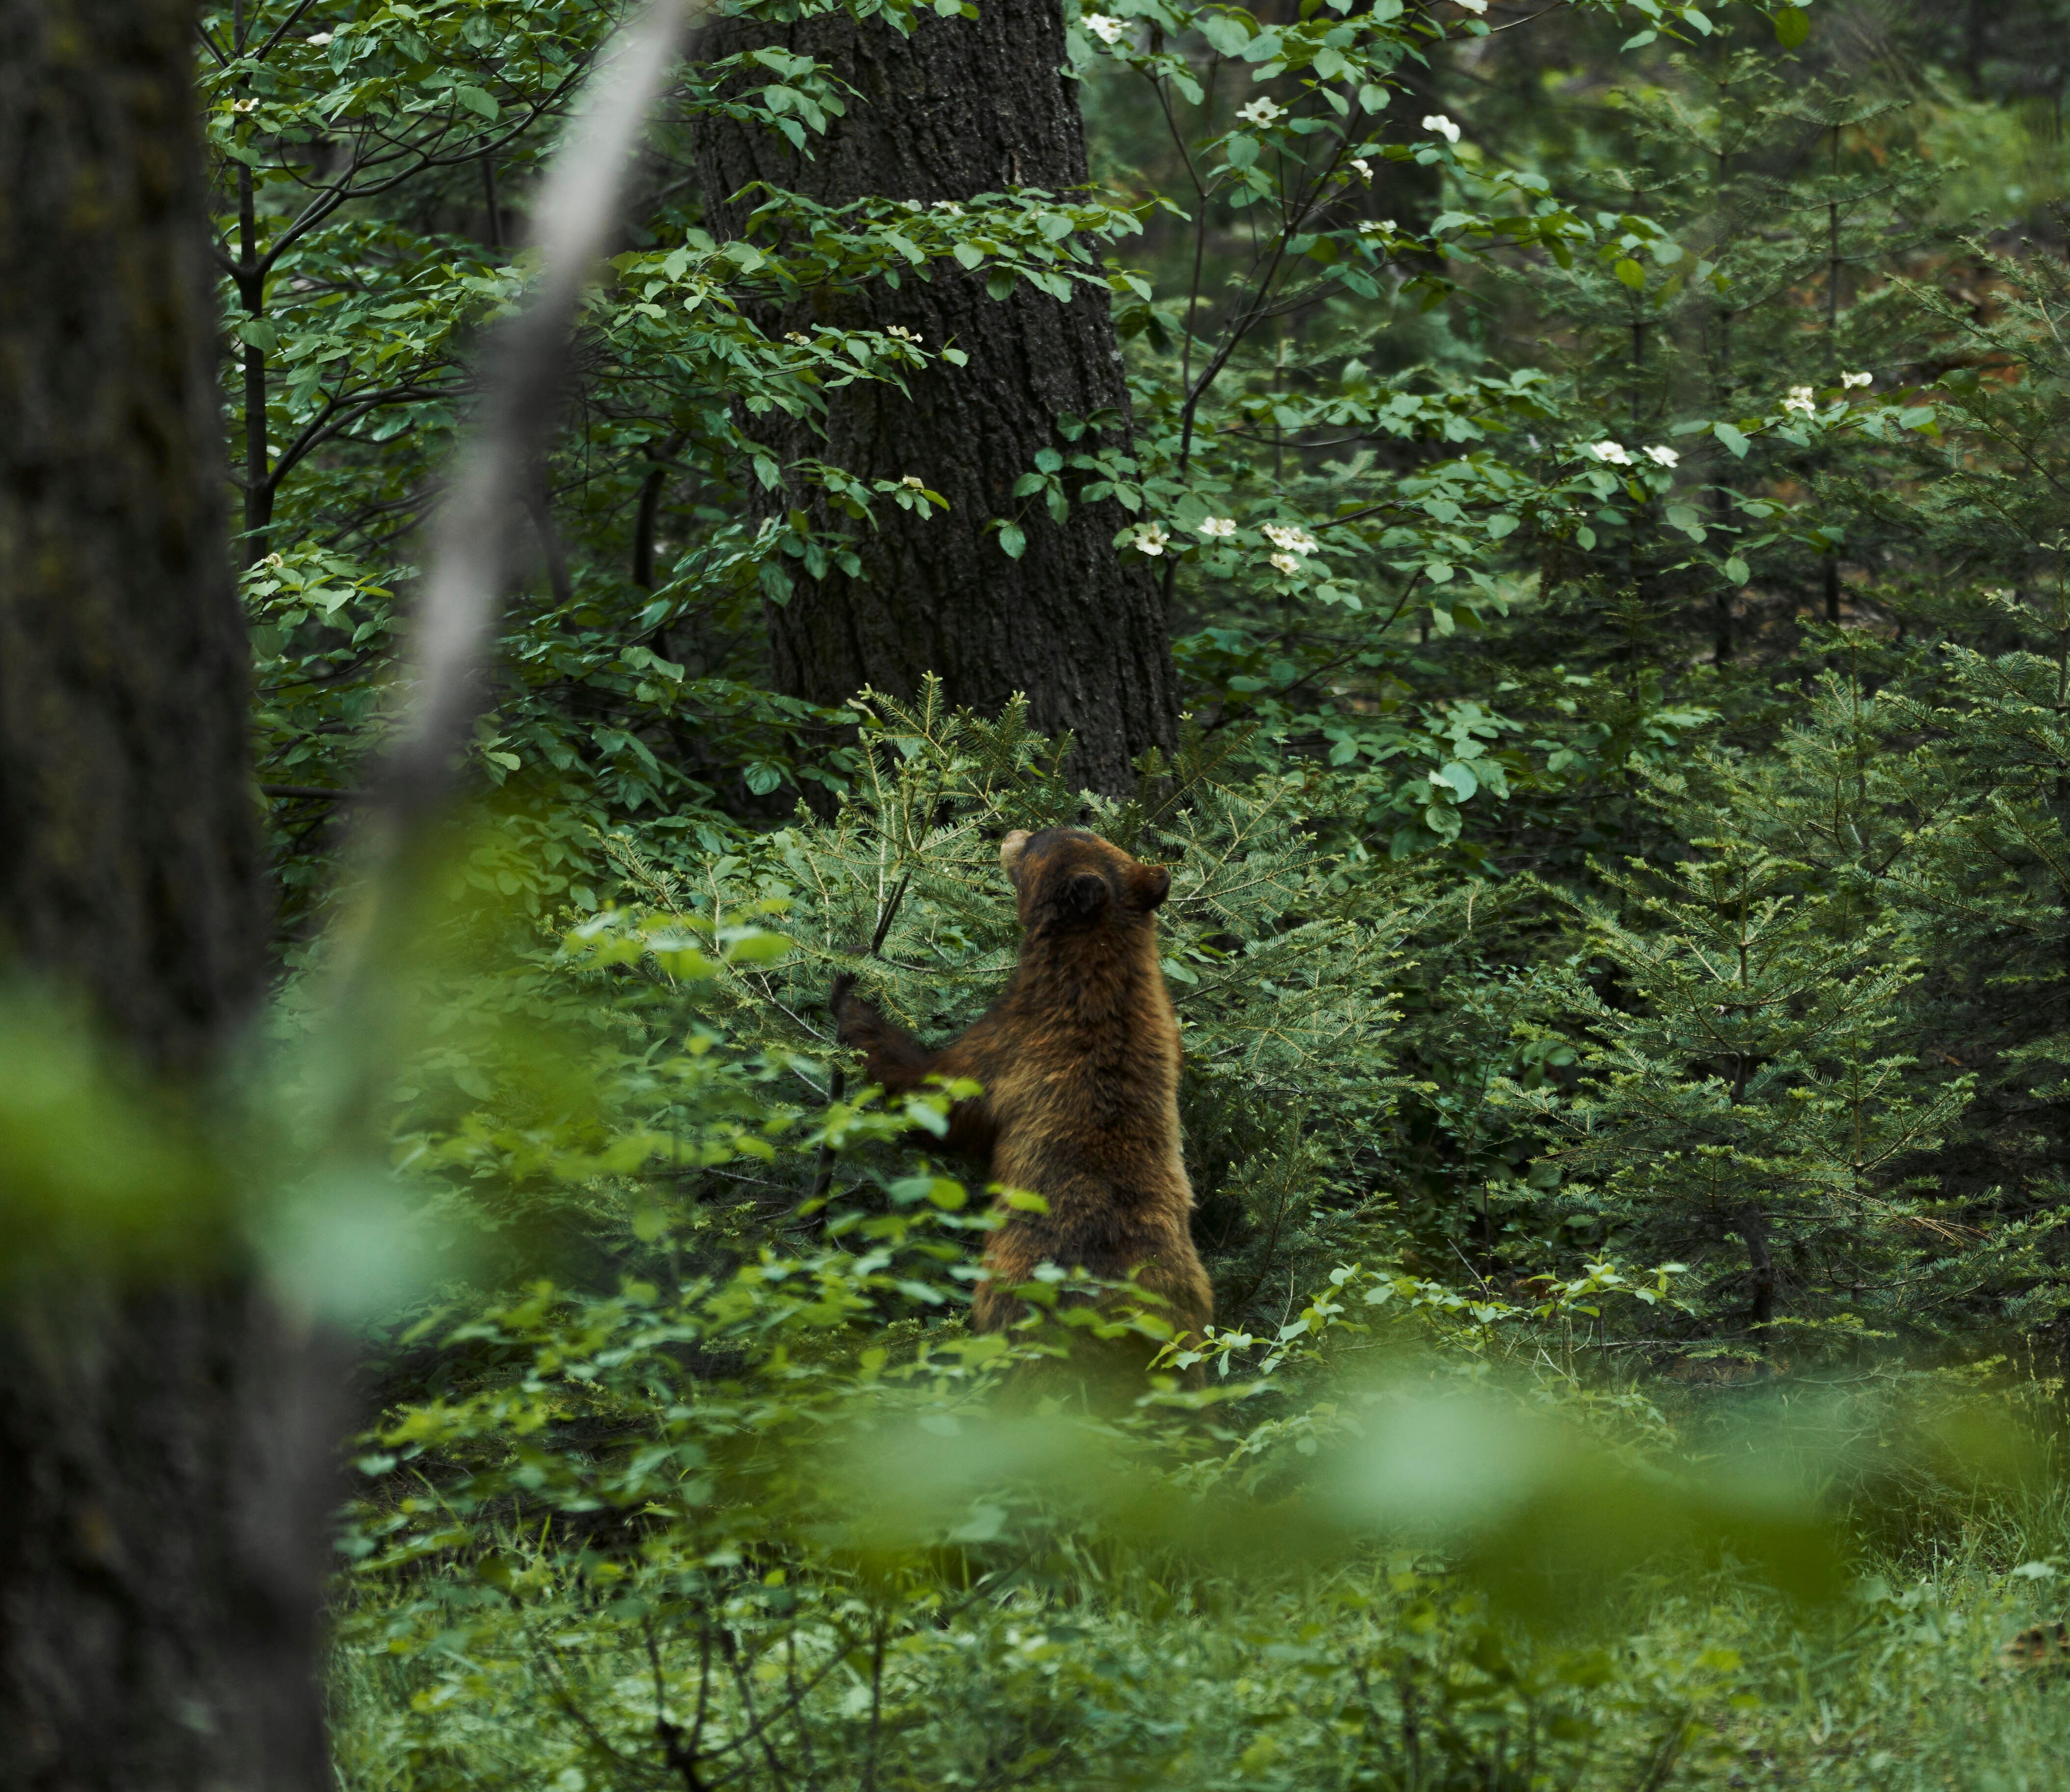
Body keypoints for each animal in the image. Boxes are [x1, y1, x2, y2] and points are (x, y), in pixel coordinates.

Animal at [824, 827, 1209, 1365]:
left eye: (1045, 839)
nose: (1013, 833)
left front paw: (854, 984)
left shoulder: (1015, 1045)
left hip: (1022, 1302)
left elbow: (938, 1098)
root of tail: (1123, 1317)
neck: (1091, 974)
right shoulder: (1169, 1036)